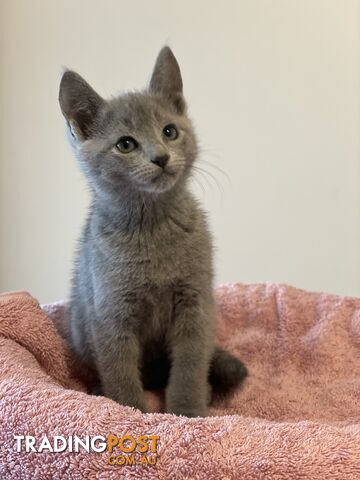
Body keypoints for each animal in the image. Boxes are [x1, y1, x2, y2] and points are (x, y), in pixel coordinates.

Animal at [59, 47, 246, 418]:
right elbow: (119, 371)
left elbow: (189, 365)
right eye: (125, 144)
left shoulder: (195, 303)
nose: (160, 157)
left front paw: (188, 411)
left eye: (169, 131)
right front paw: (129, 411)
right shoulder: (111, 312)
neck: (152, 226)